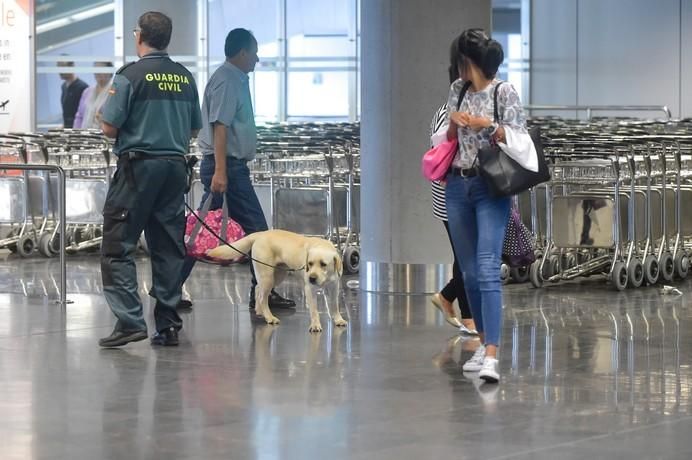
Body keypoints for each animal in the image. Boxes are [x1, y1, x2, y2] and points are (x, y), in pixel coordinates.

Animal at [204, 229, 346, 330]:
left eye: (323, 264)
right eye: (310, 264)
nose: (311, 278)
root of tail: (260, 234)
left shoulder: (335, 287)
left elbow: (335, 305)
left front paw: (338, 319)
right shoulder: (310, 289)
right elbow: (314, 310)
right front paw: (315, 325)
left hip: (277, 275)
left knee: (257, 289)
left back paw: (259, 311)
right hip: (268, 277)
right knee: (262, 296)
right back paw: (269, 317)